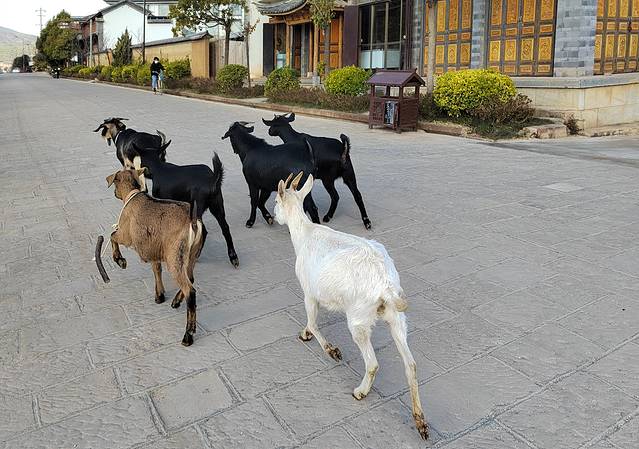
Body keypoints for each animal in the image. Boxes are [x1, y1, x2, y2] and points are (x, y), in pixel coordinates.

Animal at [106, 168, 203, 346]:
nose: (115, 193)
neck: (132, 196)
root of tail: (192, 221)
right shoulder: (155, 250)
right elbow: (156, 269)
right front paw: (160, 295)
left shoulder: (126, 235)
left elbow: (113, 236)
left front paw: (120, 260)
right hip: (191, 255)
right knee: (190, 278)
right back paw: (176, 301)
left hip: (174, 257)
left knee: (190, 290)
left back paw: (188, 335)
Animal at [274, 172, 428, 440]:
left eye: (275, 200)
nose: (273, 215)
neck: (304, 233)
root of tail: (385, 283)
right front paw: (308, 335)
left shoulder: (309, 292)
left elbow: (313, 321)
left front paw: (325, 346)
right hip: (396, 317)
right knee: (410, 364)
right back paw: (419, 420)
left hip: (358, 319)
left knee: (372, 362)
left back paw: (361, 392)